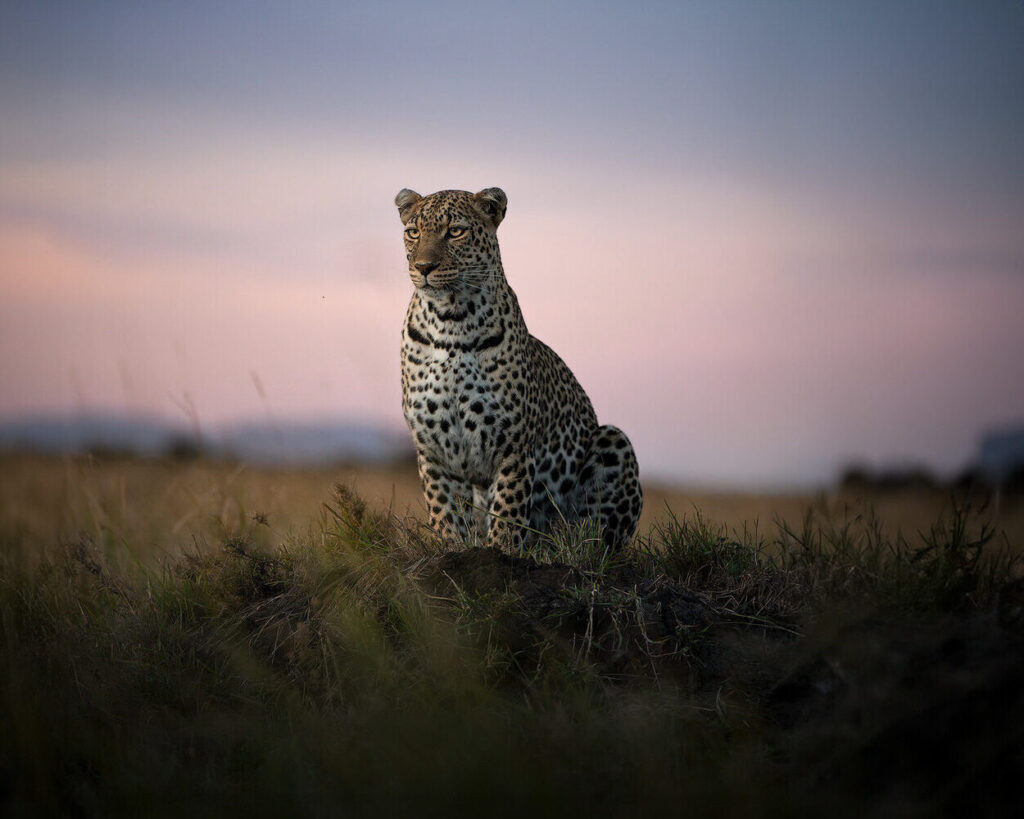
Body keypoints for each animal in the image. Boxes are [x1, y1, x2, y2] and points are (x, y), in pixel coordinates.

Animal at [397, 186, 643, 550]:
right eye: (413, 232)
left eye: (455, 231)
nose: (424, 266)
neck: (450, 319)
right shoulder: (434, 451)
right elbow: (447, 515)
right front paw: (453, 550)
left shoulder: (513, 448)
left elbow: (508, 515)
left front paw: (501, 553)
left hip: (614, 441)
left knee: (594, 540)